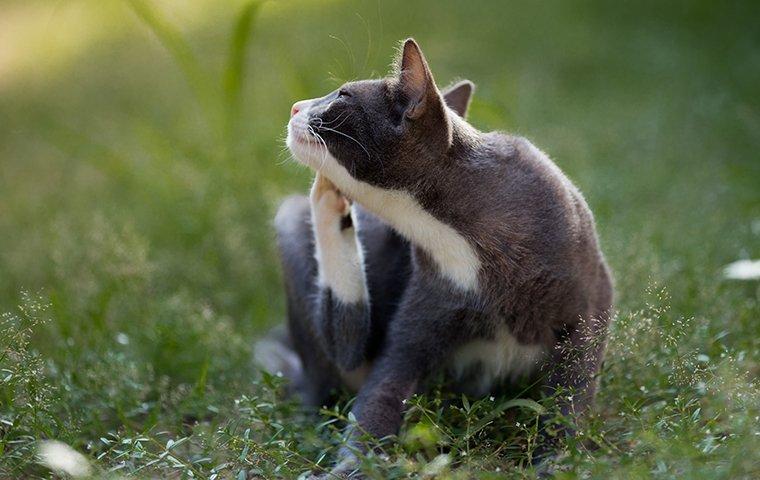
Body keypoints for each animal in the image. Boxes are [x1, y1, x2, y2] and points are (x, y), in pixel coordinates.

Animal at [270, 38, 616, 476]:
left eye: (343, 95)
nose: (295, 107)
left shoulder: (592, 298)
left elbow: (573, 390)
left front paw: (557, 461)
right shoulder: (426, 299)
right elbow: (381, 390)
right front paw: (348, 467)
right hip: (290, 223)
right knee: (337, 361)